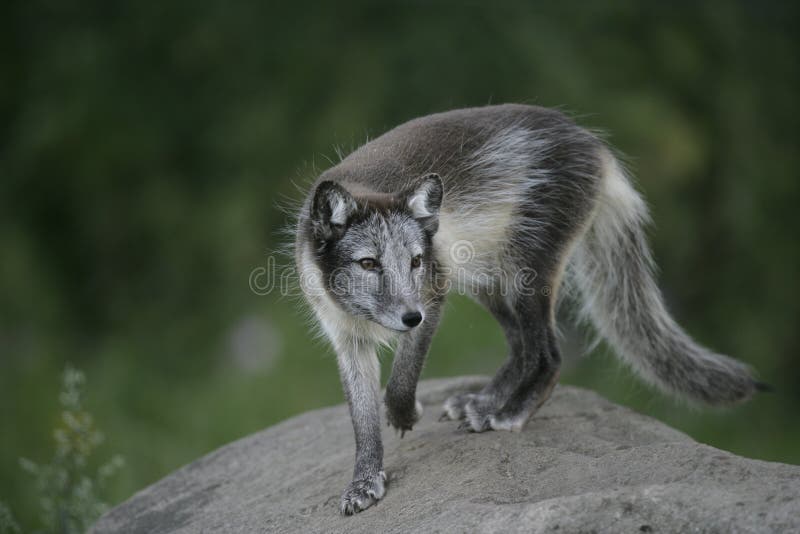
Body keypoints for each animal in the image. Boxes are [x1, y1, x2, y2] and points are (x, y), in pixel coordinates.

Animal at [296, 102, 764, 516]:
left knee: (548, 355)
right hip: (490, 282)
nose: (411, 318)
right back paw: (485, 402)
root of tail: (591, 141)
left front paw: (406, 414)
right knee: (523, 347)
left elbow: (399, 384)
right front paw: (364, 482)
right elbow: (361, 420)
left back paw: (503, 416)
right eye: (368, 264)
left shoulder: (433, 294)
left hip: (525, 276)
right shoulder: (346, 338)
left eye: (415, 261)